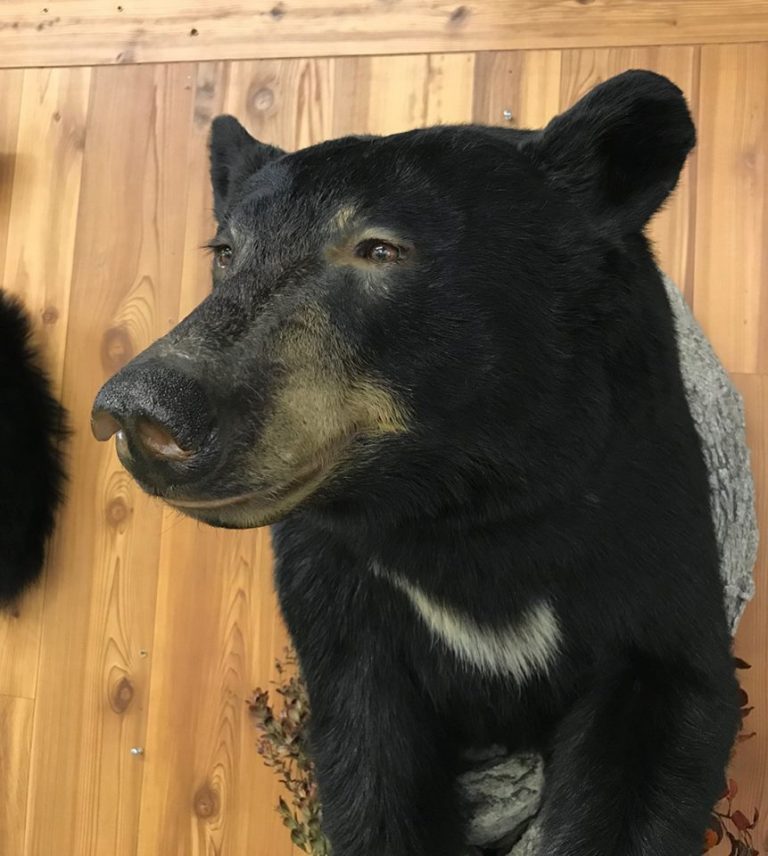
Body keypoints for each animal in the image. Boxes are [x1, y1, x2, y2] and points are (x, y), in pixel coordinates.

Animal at [92, 70, 741, 856]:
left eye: (379, 248)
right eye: (224, 252)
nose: (144, 410)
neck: (456, 505)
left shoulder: (639, 510)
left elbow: (665, 705)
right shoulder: (341, 597)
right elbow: (370, 767)